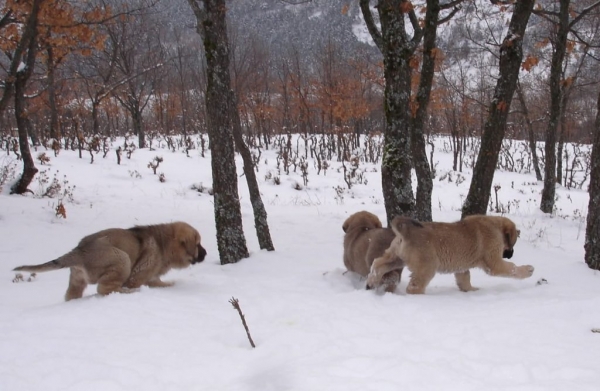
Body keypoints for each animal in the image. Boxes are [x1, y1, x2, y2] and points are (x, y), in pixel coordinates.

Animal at [12, 222, 207, 302]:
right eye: (198, 244)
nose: (205, 254)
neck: (163, 244)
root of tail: (79, 250)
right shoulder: (138, 274)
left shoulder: (152, 275)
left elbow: (158, 281)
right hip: (122, 259)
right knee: (105, 289)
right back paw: (129, 292)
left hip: (76, 279)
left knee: (71, 295)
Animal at [366, 216, 536, 296]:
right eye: (512, 244)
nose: (511, 254)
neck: (496, 227)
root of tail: (406, 232)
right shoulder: (494, 263)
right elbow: (512, 269)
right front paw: (528, 270)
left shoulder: (461, 268)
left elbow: (464, 280)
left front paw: (471, 290)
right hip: (426, 267)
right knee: (413, 287)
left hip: (396, 258)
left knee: (378, 264)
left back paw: (371, 282)